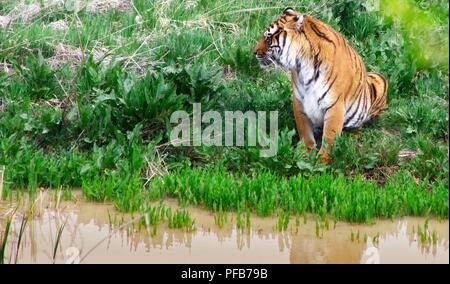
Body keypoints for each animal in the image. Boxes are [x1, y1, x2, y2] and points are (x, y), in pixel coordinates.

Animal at [253, 7, 386, 163]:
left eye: (268, 38)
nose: (254, 52)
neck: (303, 62)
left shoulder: (335, 105)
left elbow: (329, 137)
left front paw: (321, 161)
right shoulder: (299, 101)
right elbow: (305, 131)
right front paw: (305, 154)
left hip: (379, 80)